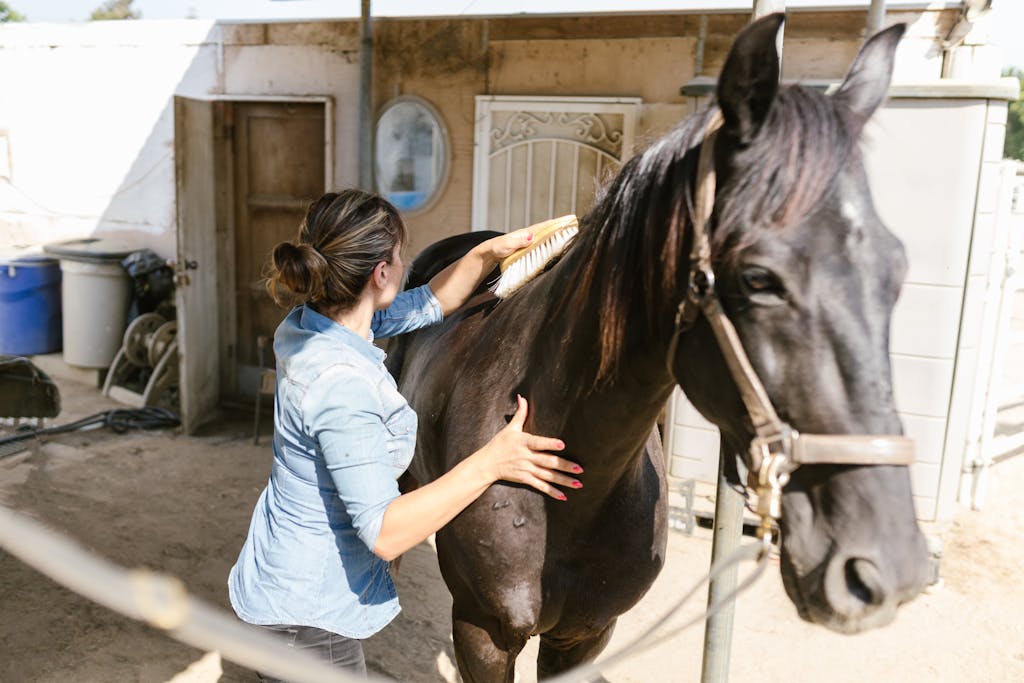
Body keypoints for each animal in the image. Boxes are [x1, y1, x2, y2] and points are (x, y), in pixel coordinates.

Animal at [387, 14, 933, 679]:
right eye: (759, 279)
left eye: (896, 269)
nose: (887, 566)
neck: (573, 489)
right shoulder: (481, 633)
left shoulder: (584, 635)